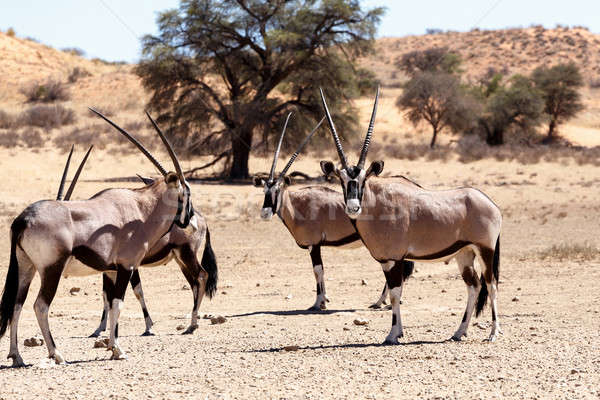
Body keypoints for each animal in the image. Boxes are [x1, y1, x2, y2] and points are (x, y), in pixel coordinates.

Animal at [0, 109, 199, 366]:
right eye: (187, 194)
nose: (192, 224)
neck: (141, 209)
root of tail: (23, 218)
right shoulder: (127, 267)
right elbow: (118, 304)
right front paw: (118, 349)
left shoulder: (112, 270)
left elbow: (111, 303)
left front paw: (112, 346)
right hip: (51, 268)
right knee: (40, 306)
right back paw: (57, 354)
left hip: (27, 266)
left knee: (17, 304)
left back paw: (17, 356)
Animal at [56, 139, 218, 340]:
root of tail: (201, 219)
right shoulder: (110, 268)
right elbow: (106, 295)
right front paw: (99, 329)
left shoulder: (129, 265)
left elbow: (136, 291)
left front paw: (148, 327)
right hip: (180, 259)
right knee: (194, 283)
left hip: (186, 253)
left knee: (202, 276)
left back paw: (192, 325)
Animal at [252, 114, 412, 310]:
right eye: (264, 190)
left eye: (278, 189)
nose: (265, 212)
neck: (298, 205)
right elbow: (320, 271)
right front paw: (325, 299)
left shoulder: (314, 245)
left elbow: (318, 270)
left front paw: (319, 302)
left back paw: (382, 301)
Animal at [318, 88, 502, 344]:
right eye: (341, 180)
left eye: (364, 179)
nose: (353, 207)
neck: (378, 206)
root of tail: (491, 204)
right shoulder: (387, 261)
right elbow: (394, 295)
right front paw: (397, 332)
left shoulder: (396, 259)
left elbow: (395, 294)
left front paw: (393, 334)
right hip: (464, 253)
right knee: (474, 286)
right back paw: (459, 332)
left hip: (485, 250)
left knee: (491, 285)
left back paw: (493, 333)